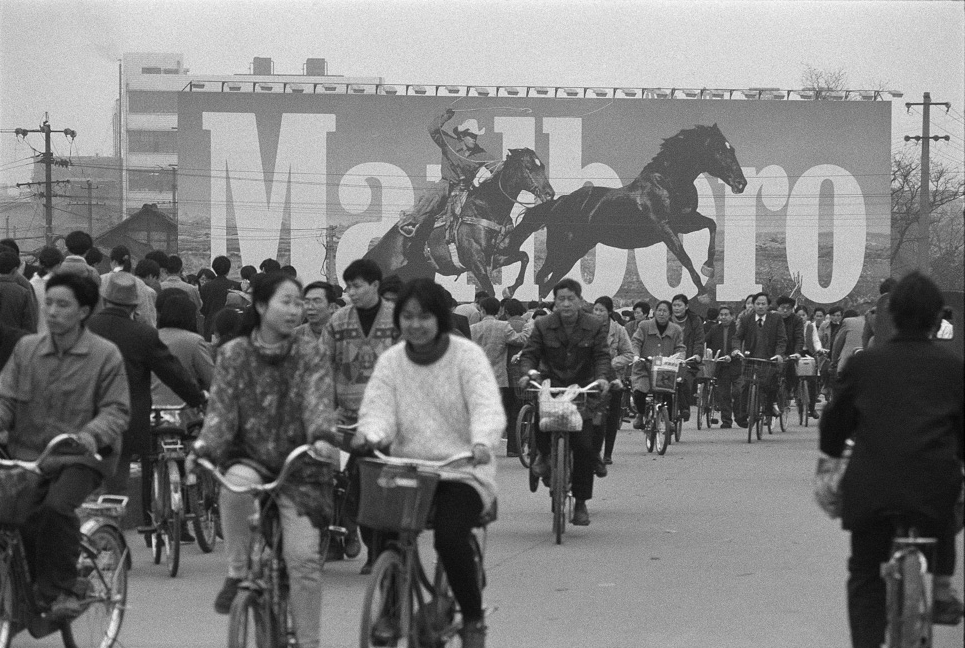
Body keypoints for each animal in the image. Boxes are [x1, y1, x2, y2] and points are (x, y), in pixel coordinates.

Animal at [362, 147, 552, 296]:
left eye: (542, 165)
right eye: (529, 167)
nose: (550, 193)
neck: (487, 208)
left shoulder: (497, 257)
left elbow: (525, 257)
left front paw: (509, 289)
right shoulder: (475, 261)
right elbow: (489, 291)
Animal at [520, 123, 744, 298]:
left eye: (732, 148)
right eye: (720, 150)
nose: (741, 183)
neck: (667, 184)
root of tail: (559, 203)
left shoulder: (685, 222)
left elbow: (711, 225)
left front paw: (709, 268)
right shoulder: (664, 227)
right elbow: (684, 256)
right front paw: (703, 293)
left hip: (576, 251)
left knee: (549, 282)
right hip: (560, 249)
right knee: (542, 277)